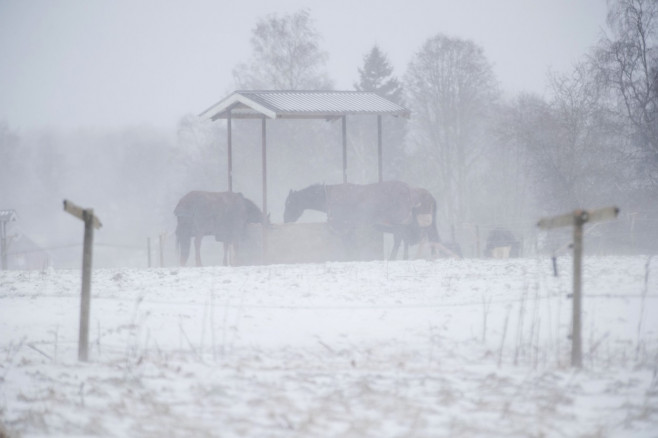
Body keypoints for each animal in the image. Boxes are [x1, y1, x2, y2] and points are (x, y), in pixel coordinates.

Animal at [284, 181, 440, 260]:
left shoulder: (344, 226)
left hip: (404, 224)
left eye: (289, 203)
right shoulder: (350, 228)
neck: (327, 198)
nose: (285, 219)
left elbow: (348, 244)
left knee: (405, 240)